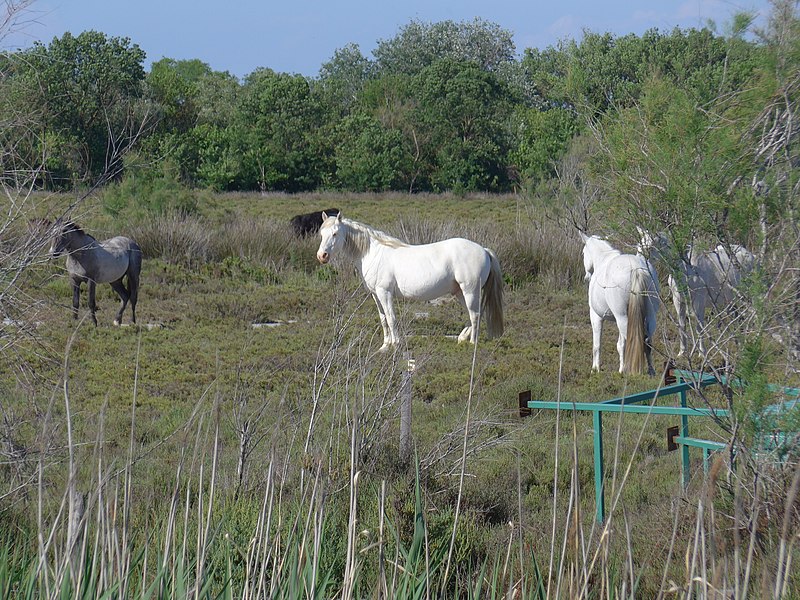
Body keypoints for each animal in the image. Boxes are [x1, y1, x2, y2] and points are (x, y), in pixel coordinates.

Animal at [316, 212, 504, 350]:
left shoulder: (385, 293)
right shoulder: (376, 295)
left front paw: (395, 344)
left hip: (470, 290)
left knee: (475, 315)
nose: (322, 256)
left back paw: (472, 343)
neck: (373, 254)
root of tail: (483, 250)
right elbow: (383, 319)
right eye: (321, 234)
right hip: (459, 293)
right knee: (473, 314)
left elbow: (391, 318)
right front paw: (385, 346)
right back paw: (463, 337)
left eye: (335, 233)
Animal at [580, 231, 660, 376]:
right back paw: (650, 371)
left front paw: (595, 368)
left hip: (621, 317)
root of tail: (637, 269)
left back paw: (625, 370)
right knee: (647, 341)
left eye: (583, 253)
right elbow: (620, 344)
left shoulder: (595, 316)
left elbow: (597, 344)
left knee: (631, 340)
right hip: (650, 316)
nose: (587, 277)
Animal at [636, 226, 752, 356]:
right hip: (731, 300)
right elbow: (682, 325)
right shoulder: (678, 301)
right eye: (638, 246)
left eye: (650, 247)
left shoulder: (699, 301)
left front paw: (702, 353)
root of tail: (752, 255)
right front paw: (682, 352)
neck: (684, 269)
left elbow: (699, 327)